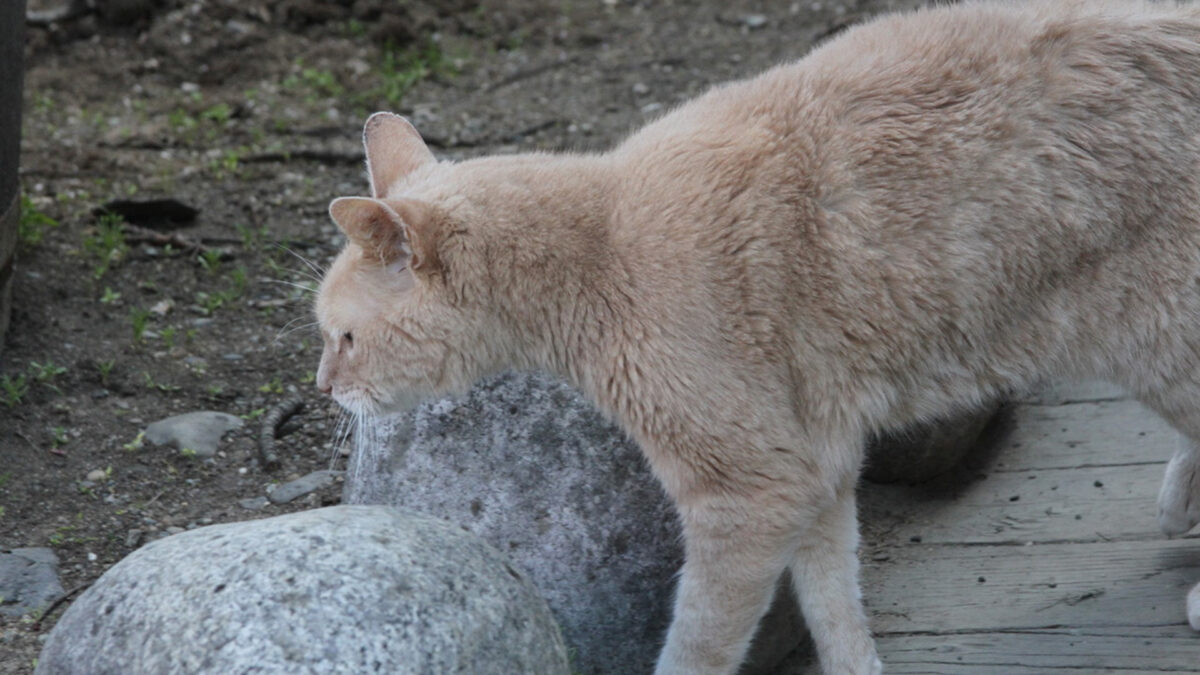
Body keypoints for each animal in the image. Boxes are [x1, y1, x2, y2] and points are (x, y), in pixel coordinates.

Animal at [316, 2, 1200, 667]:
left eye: (344, 338)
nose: (324, 386)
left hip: (1159, 339)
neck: (596, 249)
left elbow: (699, 640)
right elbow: (834, 604)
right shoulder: (815, 468)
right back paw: (1175, 506)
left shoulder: (749, 493)